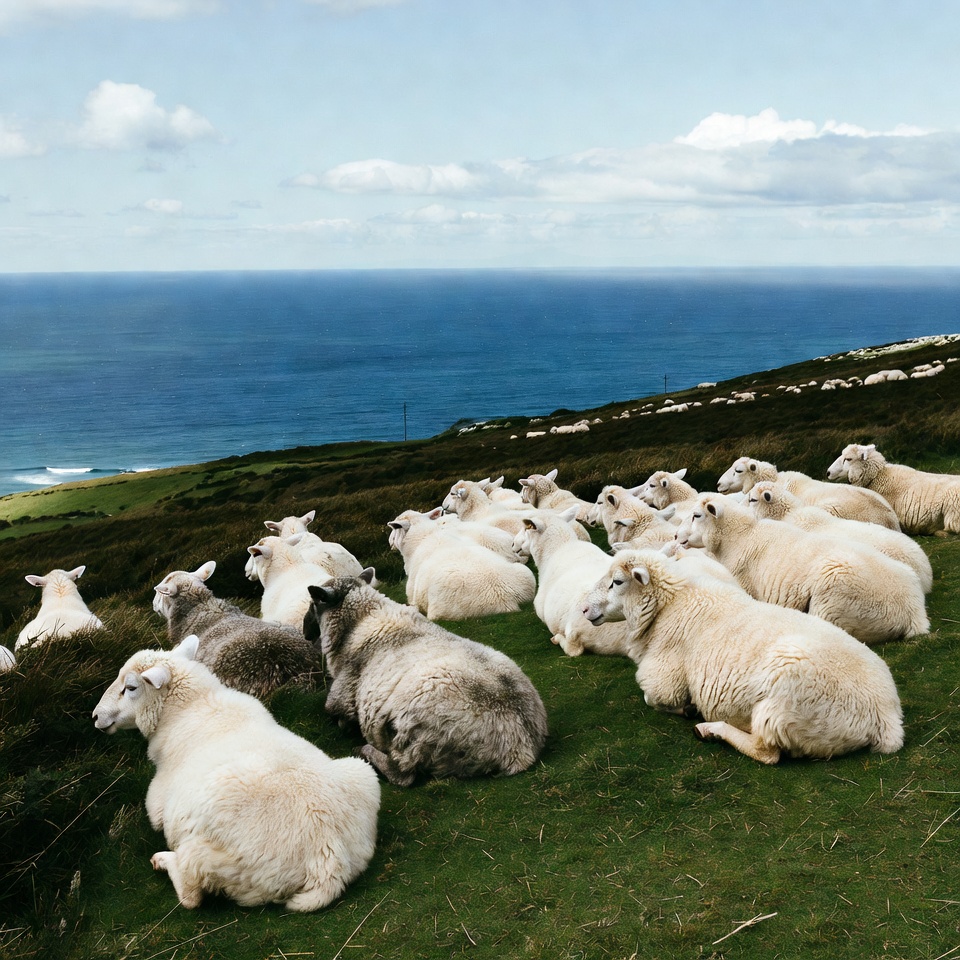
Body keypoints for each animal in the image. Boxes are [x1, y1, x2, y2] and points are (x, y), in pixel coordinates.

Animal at [93, 635, 379, 911]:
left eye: (130, 688)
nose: (95, 717)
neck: (190, 708)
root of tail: (328, 861)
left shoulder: (158, 803)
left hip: (216, 857)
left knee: (191, 893)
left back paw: (164, 860)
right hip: (362, 772)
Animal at [302, 571, 548, 787]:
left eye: (314, 603)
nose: (305, 632)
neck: (359, 623)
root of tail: (521, 747)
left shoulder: (342, 697)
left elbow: (336, 715)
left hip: (417, 733)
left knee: (403, 775)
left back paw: (365, 752)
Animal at [387, 509, 535, 620]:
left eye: (394, 527)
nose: (390, 543)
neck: (424, 537)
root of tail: (506, 599)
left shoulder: (412, 596)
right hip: (525, 573)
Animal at [581, 549, 903, 764]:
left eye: (617, 582)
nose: (584, 610)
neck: (670, 606)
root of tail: (886, 717)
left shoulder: (665, 682)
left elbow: (653, 699)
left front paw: (688, 709)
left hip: (782, 704)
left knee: (767, 752)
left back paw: (711, 729)